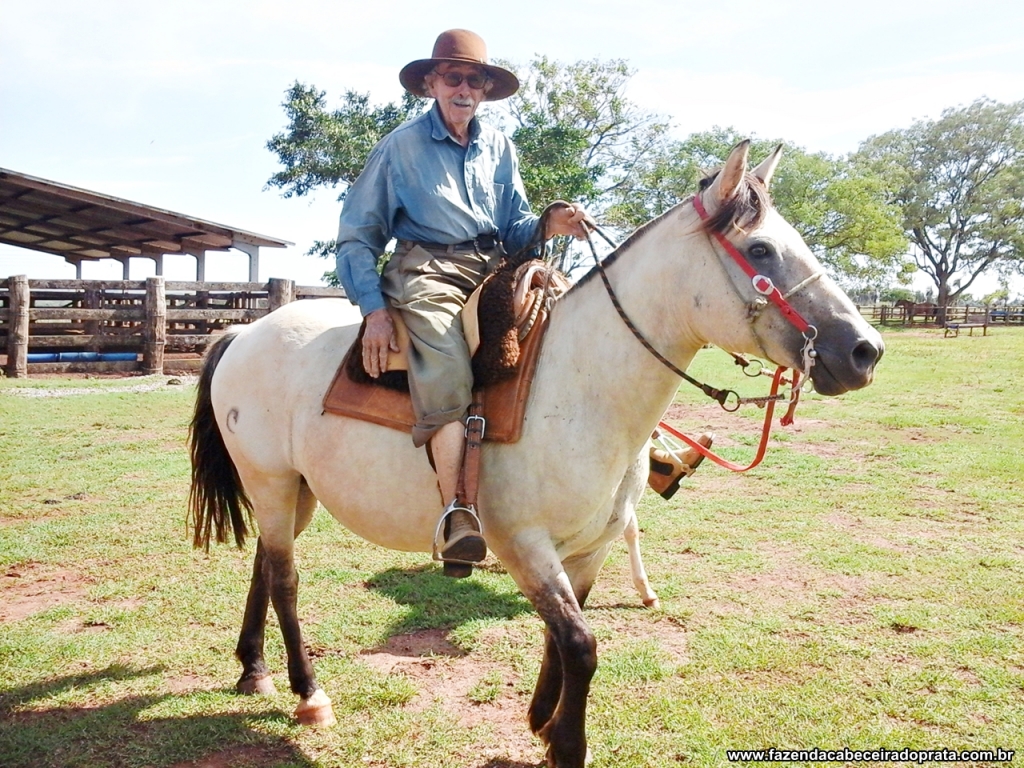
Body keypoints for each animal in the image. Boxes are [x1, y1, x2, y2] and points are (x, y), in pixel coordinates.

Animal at [190, 141, 880, 765]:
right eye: (761, 249)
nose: (863, 350)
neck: (579, 385)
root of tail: (244, 332)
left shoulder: (589, 548)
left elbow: (560, 638)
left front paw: (543, 722)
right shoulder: (522, 545)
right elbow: (579, 644)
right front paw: (564, 743)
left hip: (298, 490)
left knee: (264, 563)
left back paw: (254, 670)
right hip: (270, 480)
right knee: (285, 579)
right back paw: (308, 694)